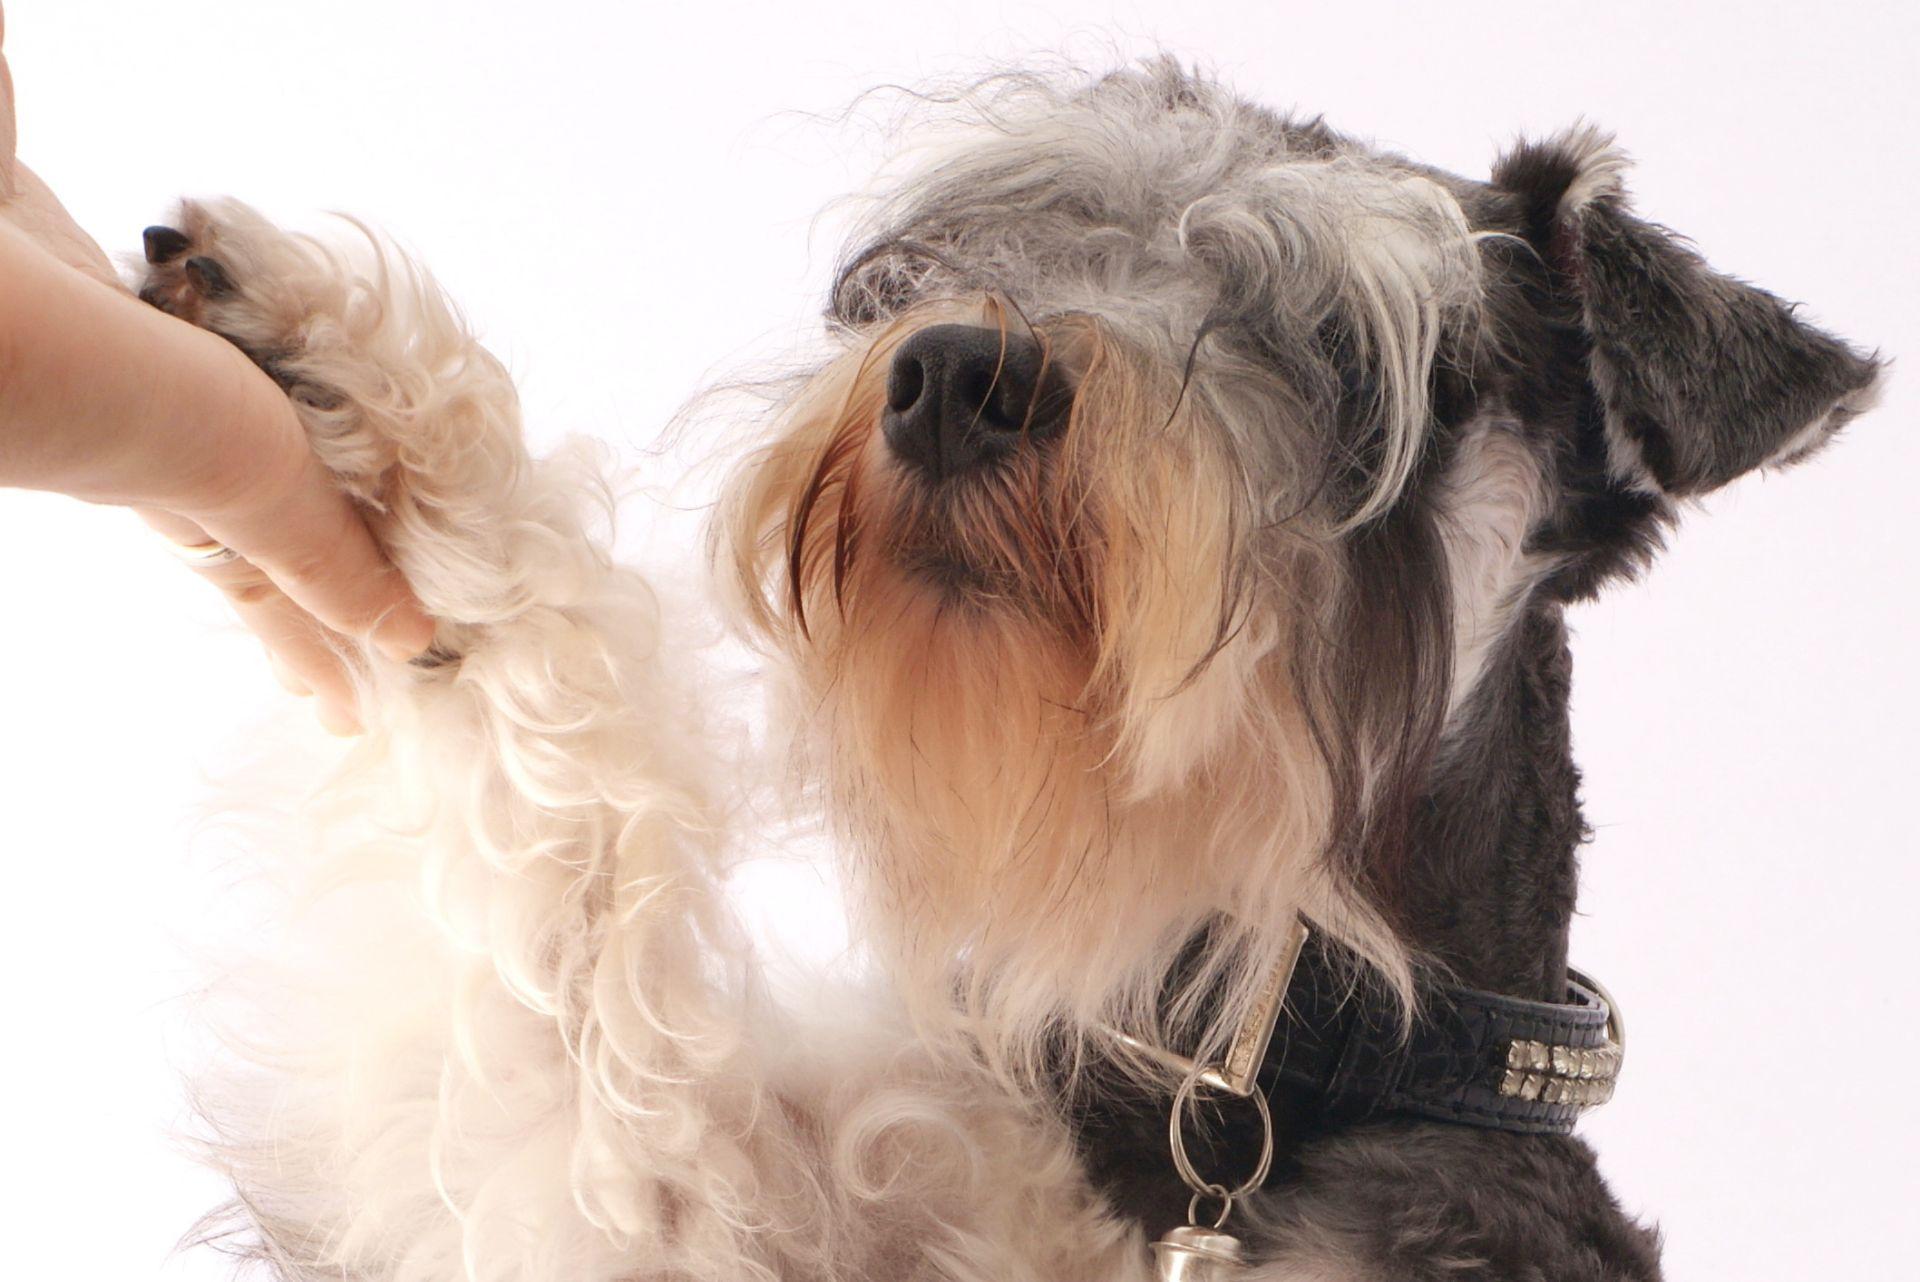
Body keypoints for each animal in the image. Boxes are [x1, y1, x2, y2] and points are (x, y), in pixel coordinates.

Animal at [139, 65, 1889, 1282]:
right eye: (1011, 237)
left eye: (1370, 358)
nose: (954, 373)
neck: (1225, 1101)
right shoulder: (650, 1197)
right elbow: (562, 884)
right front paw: (339, 383)